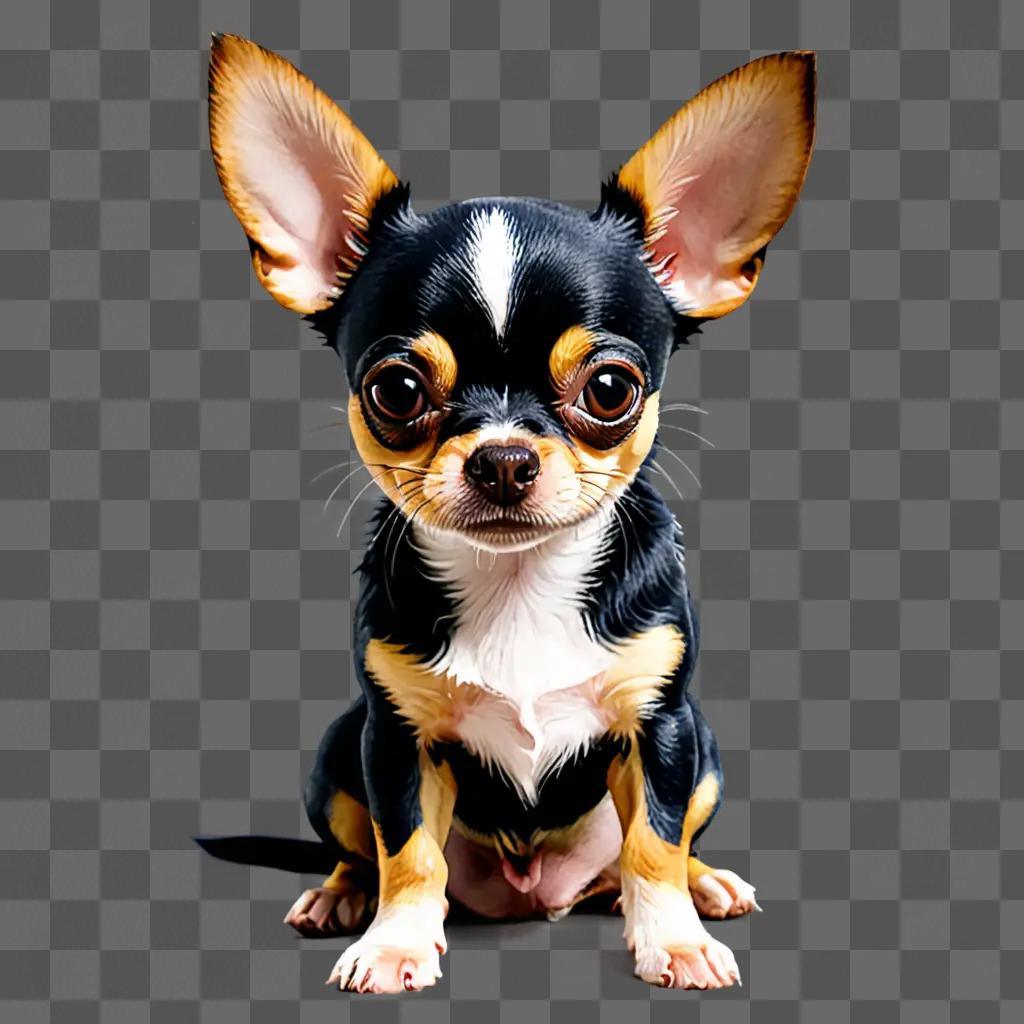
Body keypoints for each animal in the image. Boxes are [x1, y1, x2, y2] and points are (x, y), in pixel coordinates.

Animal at [197, 34, 815, 991]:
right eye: (396, 390)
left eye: (611, 389)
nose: (503, 457)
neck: (519, 581)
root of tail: (534, 895)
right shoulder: (394, 741)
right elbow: (409, 851)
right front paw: (395, 944)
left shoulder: (662, 729)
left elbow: (654, 845)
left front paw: (672, 939)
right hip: (339, 748)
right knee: (362, 850)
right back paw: (341, 897)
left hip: (706, 747)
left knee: (647, 855)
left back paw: (706, 886)